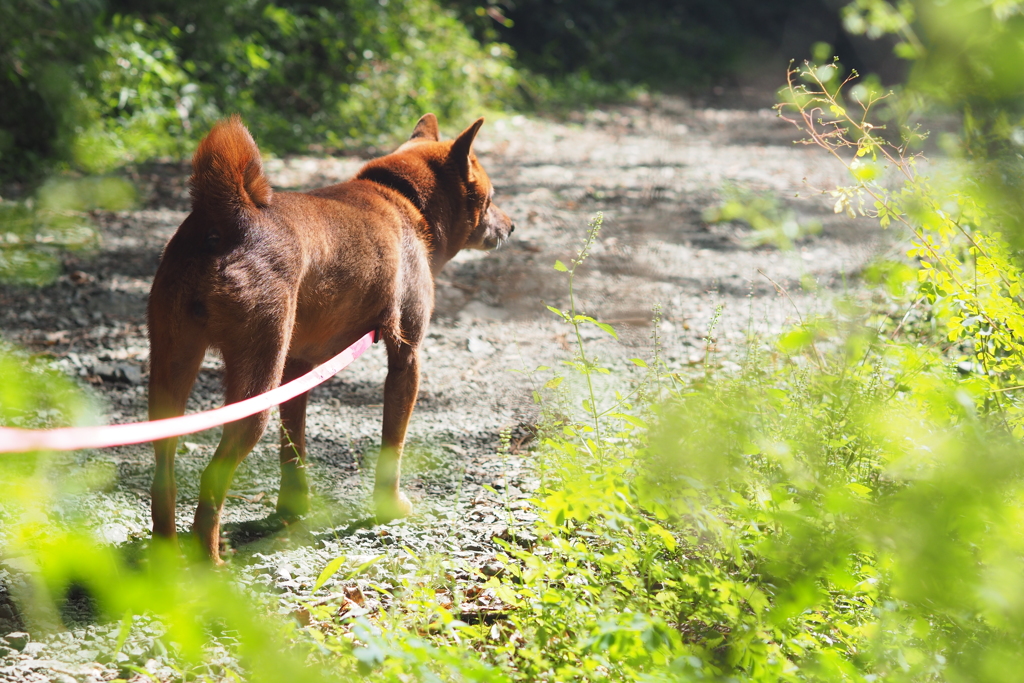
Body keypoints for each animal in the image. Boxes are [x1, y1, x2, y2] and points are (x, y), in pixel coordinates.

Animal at [146, 113, 512, 561]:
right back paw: (210, 562)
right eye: (490, 198)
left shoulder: (296, 368)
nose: (511, 226)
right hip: (254, 390)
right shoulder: (406, 357)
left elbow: (293, 448)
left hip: (173, 372)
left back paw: (165, 556)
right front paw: (390, 506)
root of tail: (228, 218)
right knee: (212, 478)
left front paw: (293, 510)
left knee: (163, 473)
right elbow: (393, 445)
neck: (404, 200)